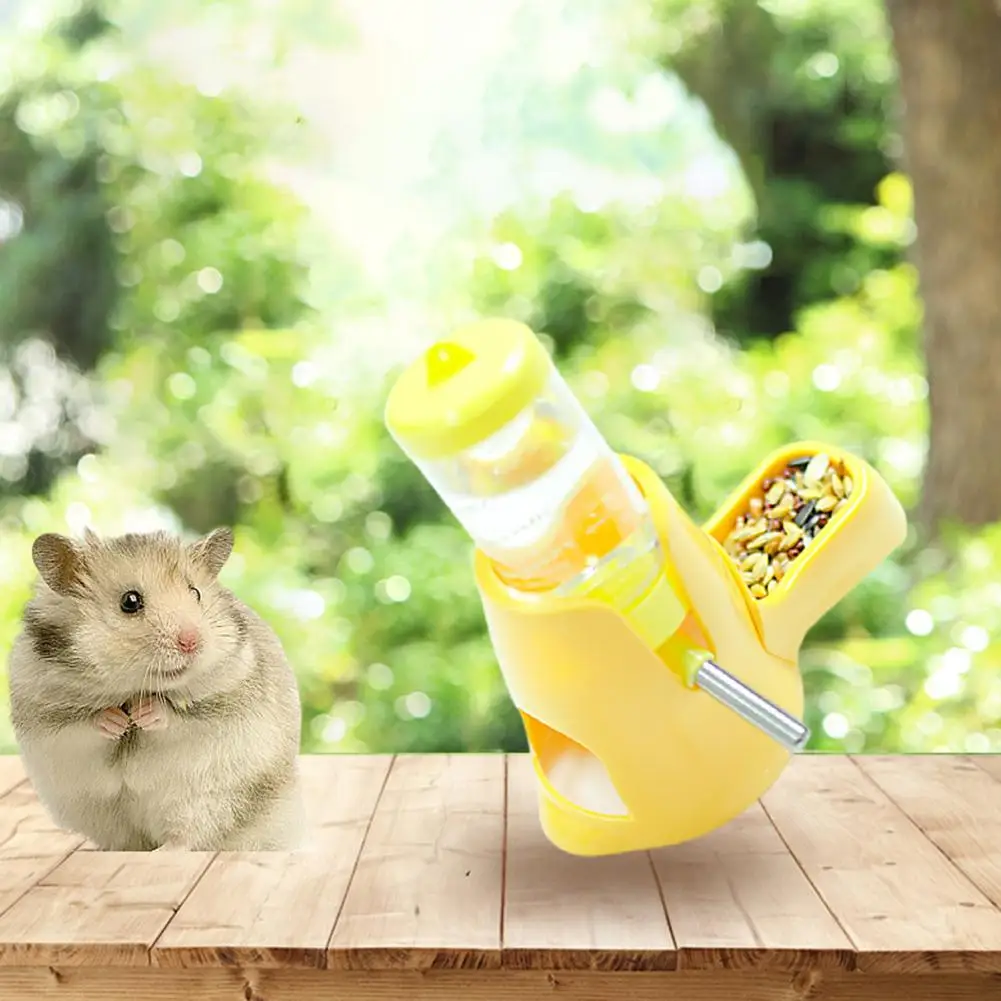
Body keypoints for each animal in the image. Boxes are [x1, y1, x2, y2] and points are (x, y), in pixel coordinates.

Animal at [8, 526, 304, 851]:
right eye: (130, 601)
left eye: (195, 592)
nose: (192, 642)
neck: (132, 687)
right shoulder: (45, 715)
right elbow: (83, 724)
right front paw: (117, 720)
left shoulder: (225, 700)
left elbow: (178, 717)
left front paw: (143, 713)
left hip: (209, 801)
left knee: (188, 836)